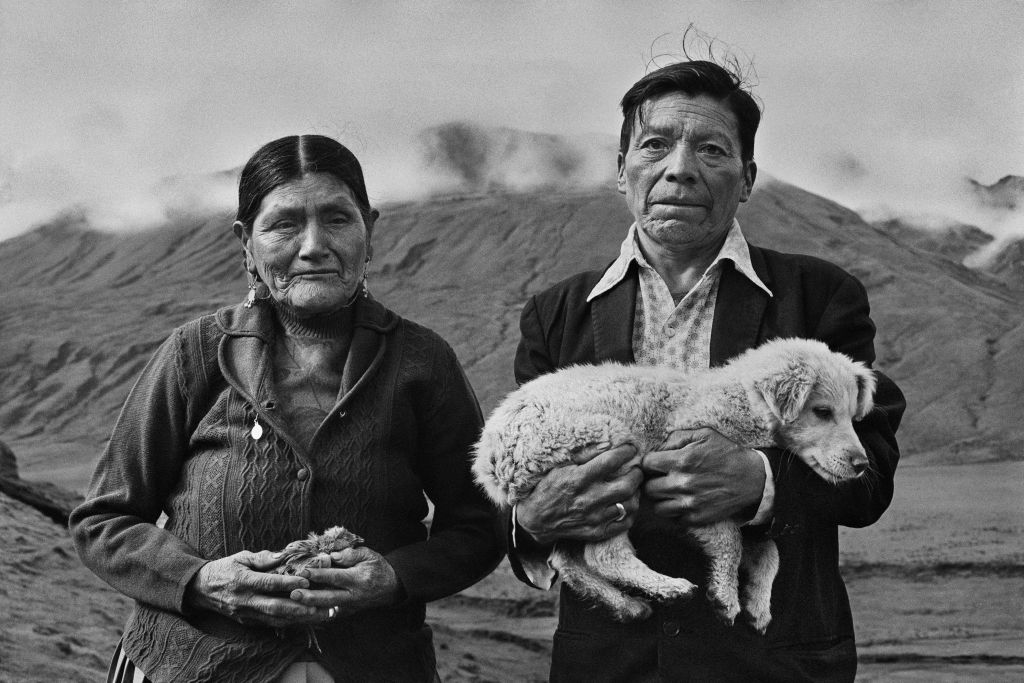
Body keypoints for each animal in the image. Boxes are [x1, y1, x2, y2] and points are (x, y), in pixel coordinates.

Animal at [475, 339, 876, 634]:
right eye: (822, 412)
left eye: (852, 415)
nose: (862, 465)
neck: (739, 402)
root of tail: (488, 458)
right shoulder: (692, 489)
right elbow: (731, 542)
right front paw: (725, 598)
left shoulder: (732, 501)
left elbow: (769, 552)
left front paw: (758, 607)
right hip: (605, 468)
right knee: (604, 556)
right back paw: (670, 588)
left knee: (570, 561)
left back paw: (629, 606)